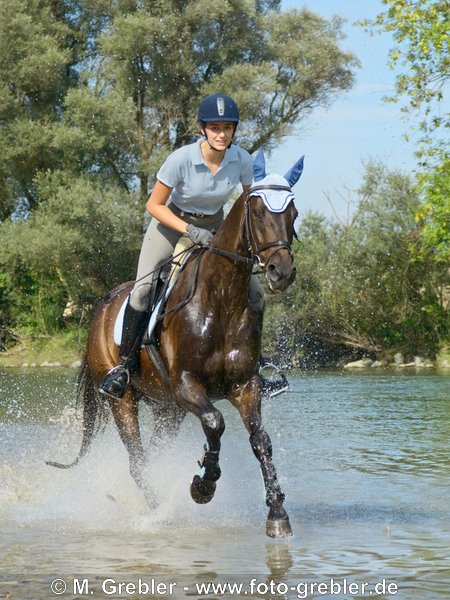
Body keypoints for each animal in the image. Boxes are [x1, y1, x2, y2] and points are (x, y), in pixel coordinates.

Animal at [47, 151, 304, 540]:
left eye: (294, 214)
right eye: (258, 212)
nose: (281, 271)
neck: (222, 298)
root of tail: (101, 309)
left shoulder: (244, 386)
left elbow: (261, 441)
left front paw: (277, 514)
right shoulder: (186, 385)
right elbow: (215, 422)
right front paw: (203, 486)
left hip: (166, 408)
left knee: (154, 453)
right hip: (125, 401)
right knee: (138, 459)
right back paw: (157, 512)